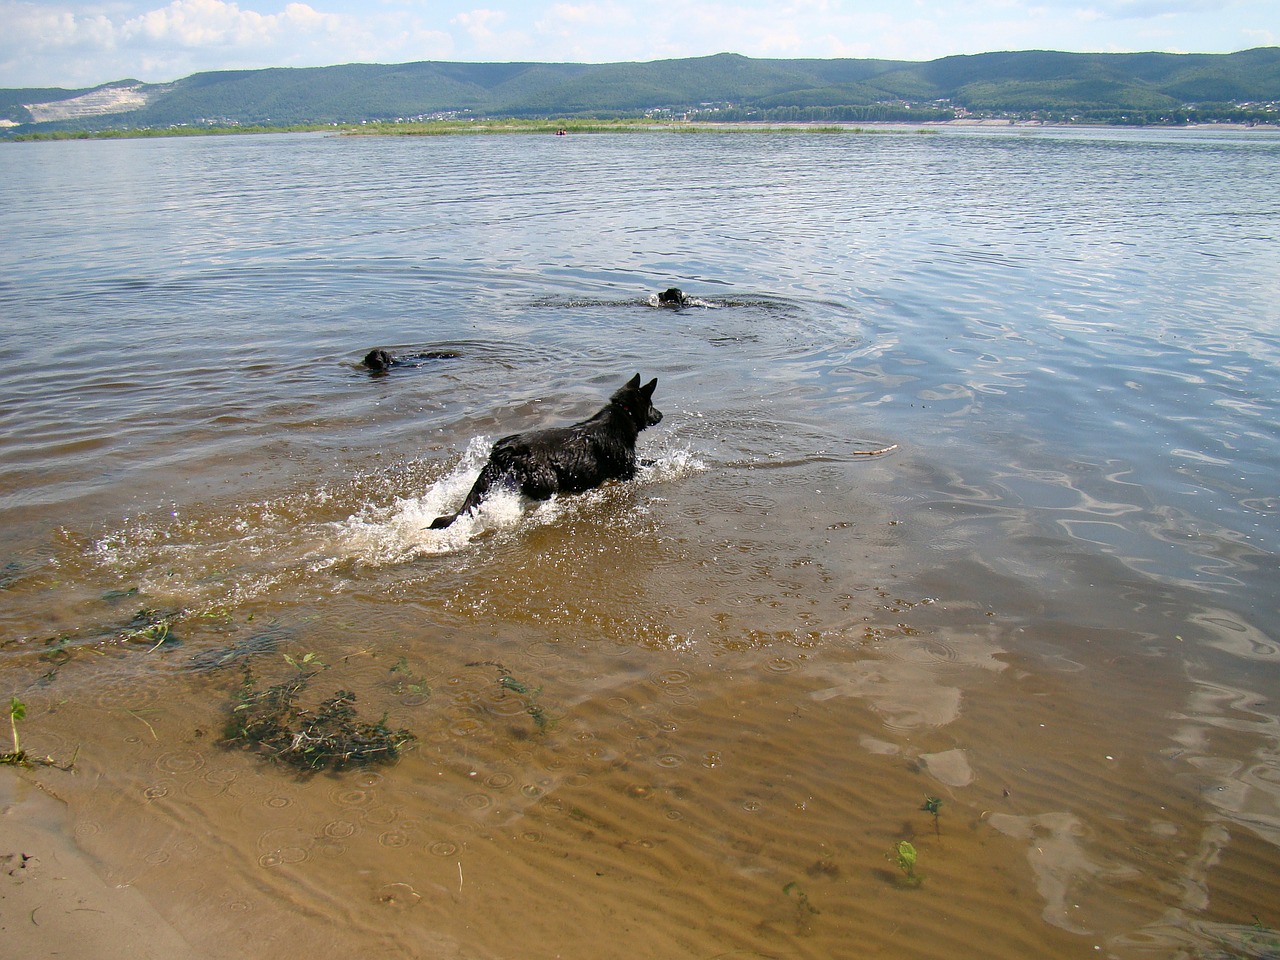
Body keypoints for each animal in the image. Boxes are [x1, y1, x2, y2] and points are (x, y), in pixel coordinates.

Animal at [432, 371, 665, 529]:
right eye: (652, 405)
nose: (661, 415)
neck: (623, 414)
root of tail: (504, 450)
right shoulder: (628, 469)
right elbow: (649, 462)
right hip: (547, 482)